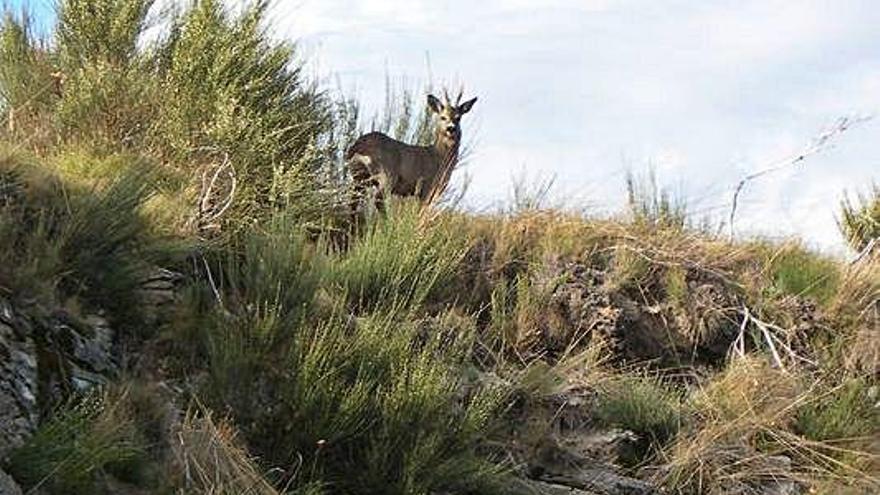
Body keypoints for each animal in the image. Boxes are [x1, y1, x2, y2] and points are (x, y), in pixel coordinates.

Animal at [348, 89, 478, 209]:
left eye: (458, 118)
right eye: (443, 117)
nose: (451, 128)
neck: (439, 157)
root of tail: (357, 146)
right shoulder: (427, 187)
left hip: (358, 177)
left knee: (353, 202)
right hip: (386, 174)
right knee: (378, 200)